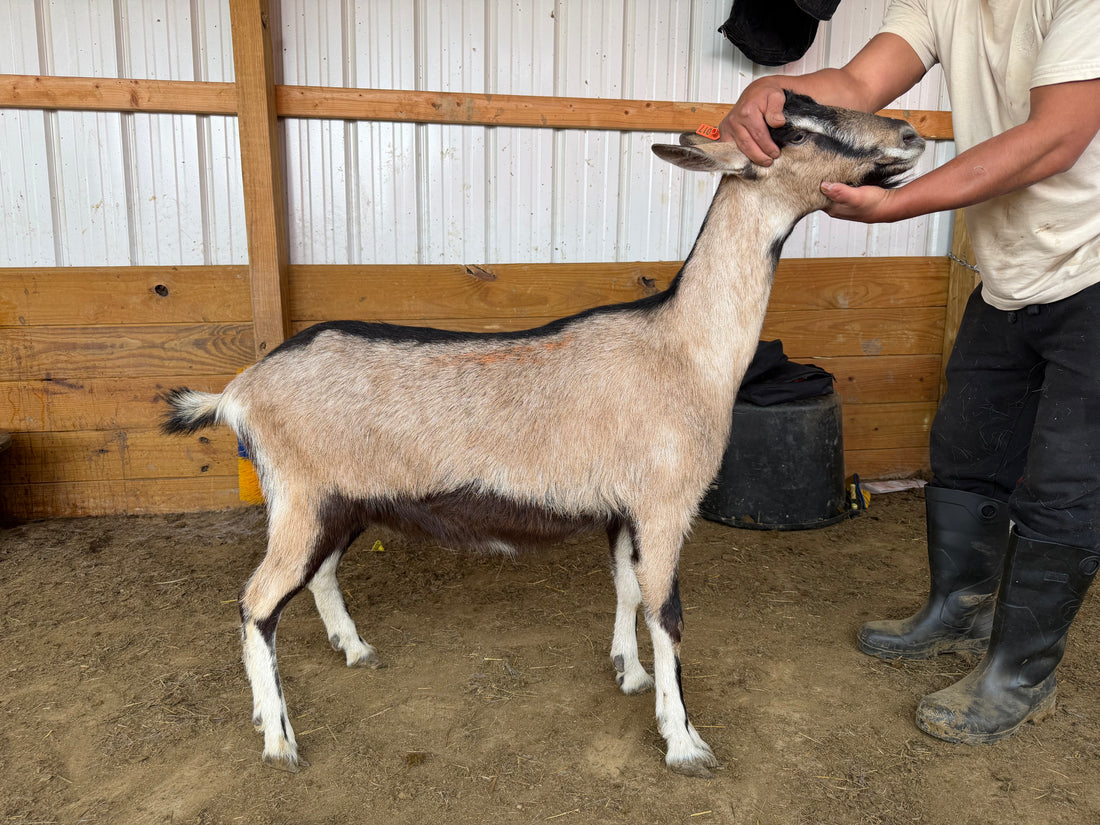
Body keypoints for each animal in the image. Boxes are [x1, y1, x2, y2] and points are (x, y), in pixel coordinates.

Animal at [162, 92, 924, 777]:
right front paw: (684, 741)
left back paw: (351, 652)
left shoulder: (623, 508)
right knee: (257, 601)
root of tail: (239, 392)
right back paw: (278, 738)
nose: (911, 133)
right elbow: (667, 611)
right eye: (793, 127)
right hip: (302, 497)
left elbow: (627, 590)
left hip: (339, 502)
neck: (683, 347)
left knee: (315, 576)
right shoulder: (665, 502)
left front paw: (630, 675)